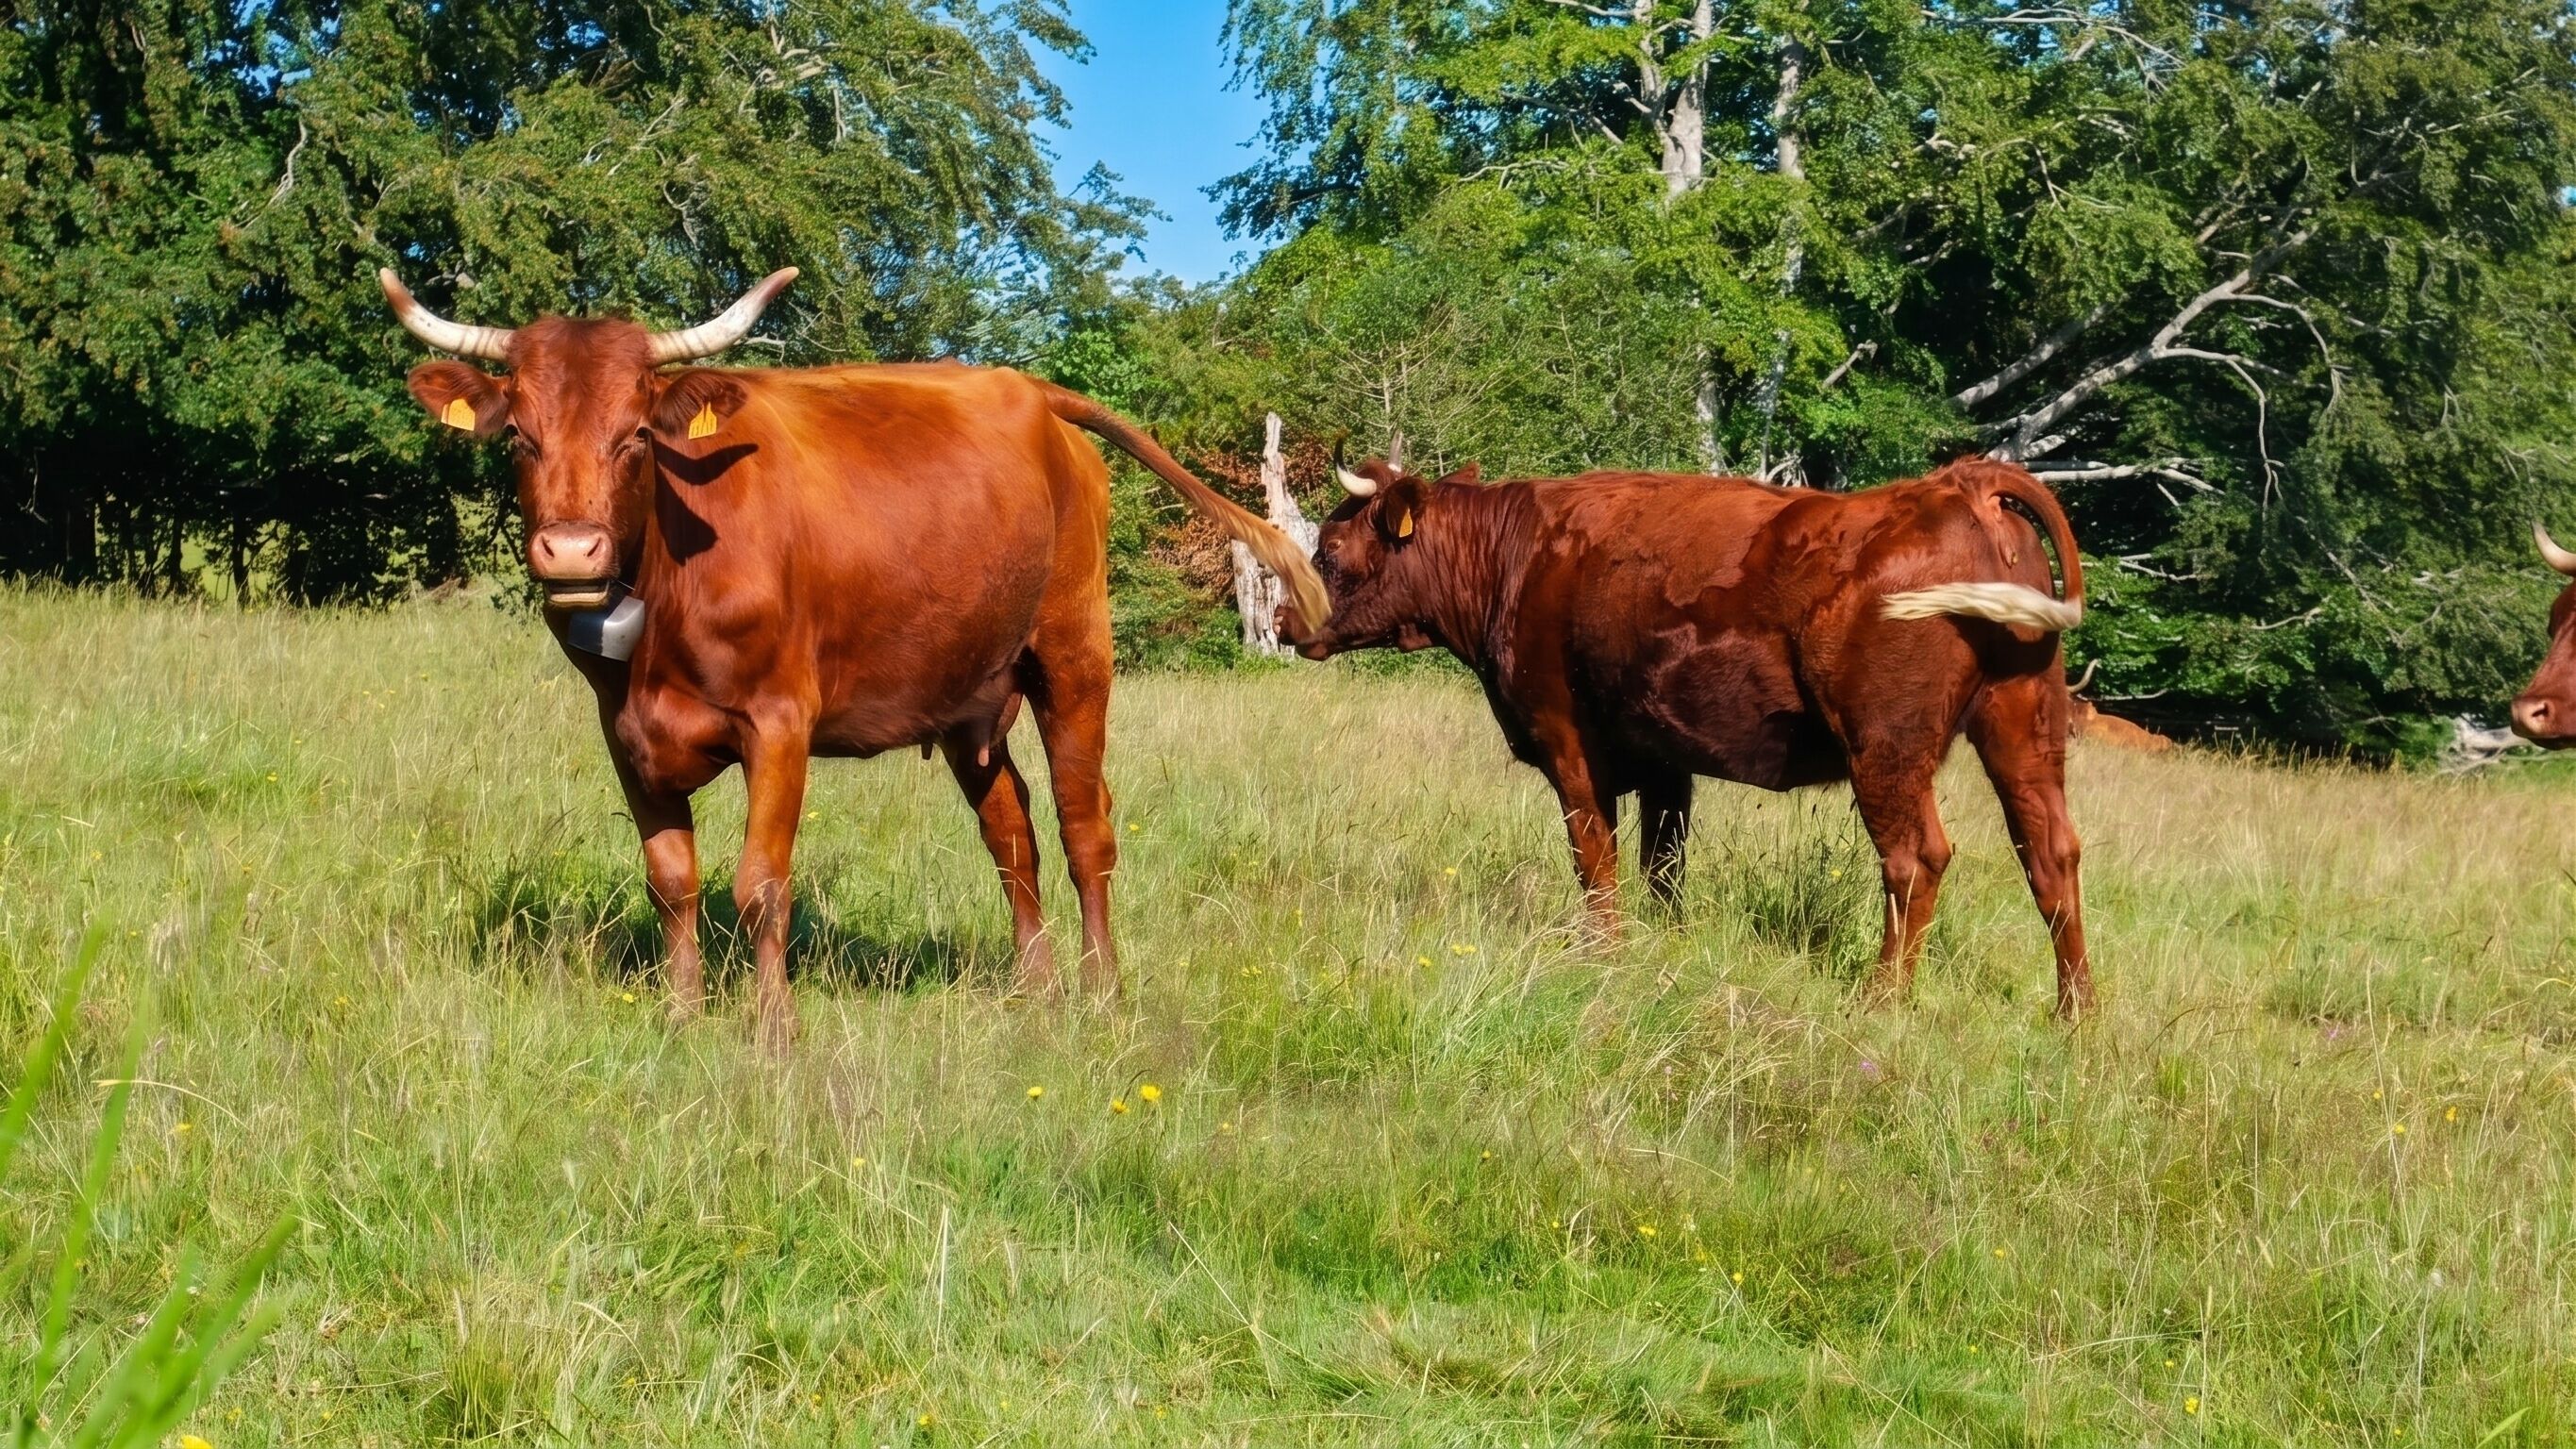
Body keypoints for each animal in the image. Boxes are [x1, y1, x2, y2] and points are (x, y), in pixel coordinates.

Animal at [380, 267, 1328, 1048]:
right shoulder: (624, 731)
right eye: (520, 438)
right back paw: (1039, 988)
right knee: (1011, 831)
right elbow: (671, 878)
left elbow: (761, 883)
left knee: (1082, 824)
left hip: (1074, 652)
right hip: (968, 695)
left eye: (637, 436)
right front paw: (682, 1017)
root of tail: (1027, 389)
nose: (572, 552)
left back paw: (1101, 994)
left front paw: (773, 1031)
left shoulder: (780, 722)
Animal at [1280, 456, 2094, 1018]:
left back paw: (1880, 999)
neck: (1512, 557)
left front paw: (1604, 957)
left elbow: (1595, 859)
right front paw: (1665, 947)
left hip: (1887, 747)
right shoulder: (1664, 758)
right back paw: (2074, 1014)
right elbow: (1663, 865)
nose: (1283, 622)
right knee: (2050, 853)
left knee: (1915, 860)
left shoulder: (1567, 742)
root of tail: (1959, 483)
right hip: (2022, 725)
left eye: (1328, 551)